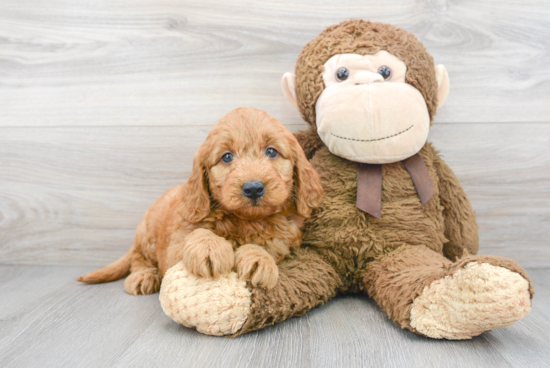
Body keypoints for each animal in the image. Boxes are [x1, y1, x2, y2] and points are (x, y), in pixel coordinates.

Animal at [77, 106, 324, 294]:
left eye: (272, 152)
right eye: (227, 157)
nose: (253, 188)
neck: (245, 221)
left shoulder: (285, 243)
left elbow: (268, 246)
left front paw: (258, 258)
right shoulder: (173, 249)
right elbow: (197, 234)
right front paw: (209, 247)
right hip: (147, 235)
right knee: (139, 259)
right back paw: (143, 276)